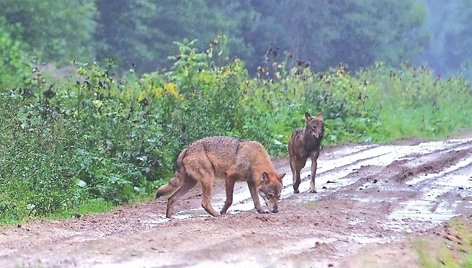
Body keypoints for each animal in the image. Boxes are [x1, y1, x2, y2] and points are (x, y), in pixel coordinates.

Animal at [157, 136, 286, 218]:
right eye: (270, 195)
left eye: (278, 196)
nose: (275, 210)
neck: (254, 158)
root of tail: (186, 149)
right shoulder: (230, 177)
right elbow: (229, 200)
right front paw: (223, 212)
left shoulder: (251, 182)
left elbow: (256, 201)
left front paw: (261, 212)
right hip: (208, 180)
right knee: (204, 203)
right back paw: (216, 215)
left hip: (191, 184)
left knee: (171, 198)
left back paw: (169, 217)